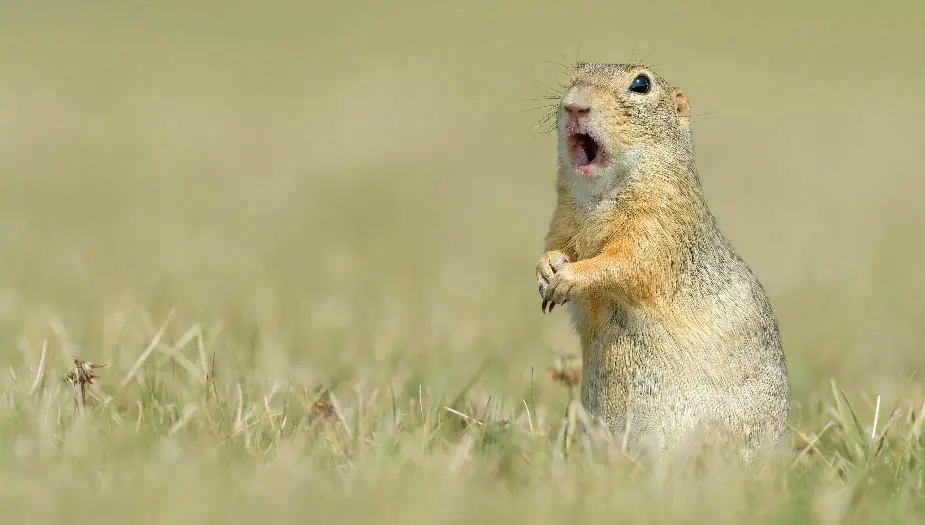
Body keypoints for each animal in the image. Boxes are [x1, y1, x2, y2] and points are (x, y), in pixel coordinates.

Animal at [536, 63, 792, 460]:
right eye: (575, 74)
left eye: (641, 84)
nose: (574, 105)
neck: (596, 197)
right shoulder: (561, 221)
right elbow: (554, 245)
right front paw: (547, 268)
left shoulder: (660, 226)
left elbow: (627, 262)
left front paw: (571, 277)